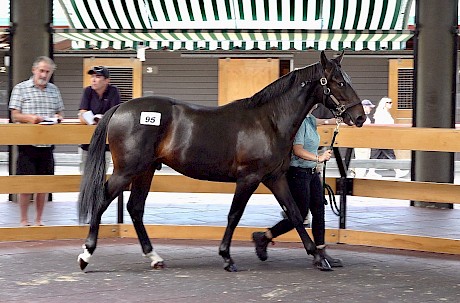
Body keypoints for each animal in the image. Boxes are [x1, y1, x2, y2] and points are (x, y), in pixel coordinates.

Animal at [77, 50, 364, 274]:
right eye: (339, 82)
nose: (360, 117)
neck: (269, 121)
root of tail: (120, 109)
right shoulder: (249, 178)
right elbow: (235, 214)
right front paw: (227, 257)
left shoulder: (275, 177)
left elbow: (294, 213)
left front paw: (318, 257)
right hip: (127, 170)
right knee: (102, 200)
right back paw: (86, 254)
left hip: (145, 171)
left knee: (135, 208)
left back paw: (154, 257)